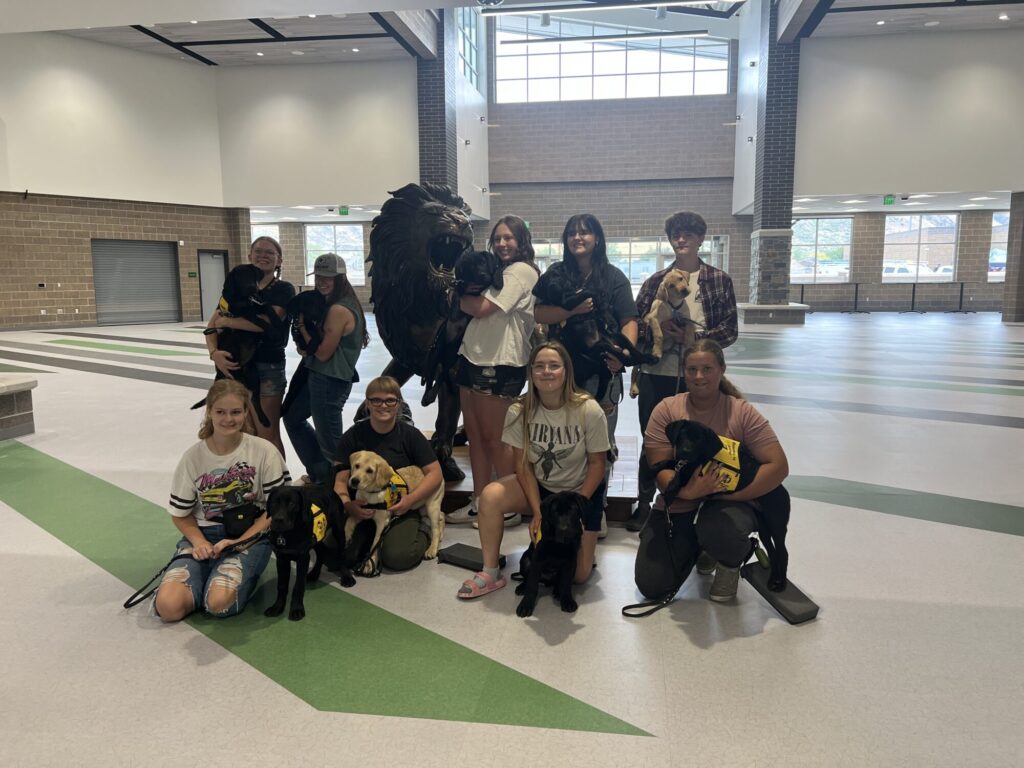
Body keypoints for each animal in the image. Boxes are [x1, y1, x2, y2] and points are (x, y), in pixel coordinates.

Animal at [192, 264, 273, 426]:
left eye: (251, 274)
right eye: (239, 278)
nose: (251, 287)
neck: (244, 298)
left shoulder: (257, 304)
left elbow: (265, 306)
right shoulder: (240, 311)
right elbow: (254, 316)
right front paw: (267, 327)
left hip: (255, 377)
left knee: (255, 399)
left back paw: (264, 419)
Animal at [264, 483, 355, 622]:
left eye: (292, 504)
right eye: (275, 503)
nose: (279, 520)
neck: (286, 535)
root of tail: (327, 488)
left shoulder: (303, 558)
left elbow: (298, 586)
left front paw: (296, 609)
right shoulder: (281, 559)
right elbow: (281, 586)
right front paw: (277, 607)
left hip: (338, 530)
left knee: (341, 554)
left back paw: (346, 577)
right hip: (316, 537)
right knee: (322, 551)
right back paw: (314, 574)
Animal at [422, 249, 504, 406]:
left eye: (483, 262)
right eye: (470, 268)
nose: (483, 275)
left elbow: (497, 270)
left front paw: (498, 279)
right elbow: (458, 289)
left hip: (453, 355)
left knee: (442, 375)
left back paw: (431, 395)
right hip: (436, 352)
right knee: (430, 378)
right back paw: (427, 396)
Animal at [533, 268, 657, 401]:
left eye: (556, 276)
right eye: (545, 282)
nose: (552, 286)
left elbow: (598, 304)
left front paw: (602, 303)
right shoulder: (567, 302)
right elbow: (587, 291)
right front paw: (597, 293)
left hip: (618, 337)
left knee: (633, 351)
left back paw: (649, 358)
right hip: (602, 347)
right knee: (626, 359)